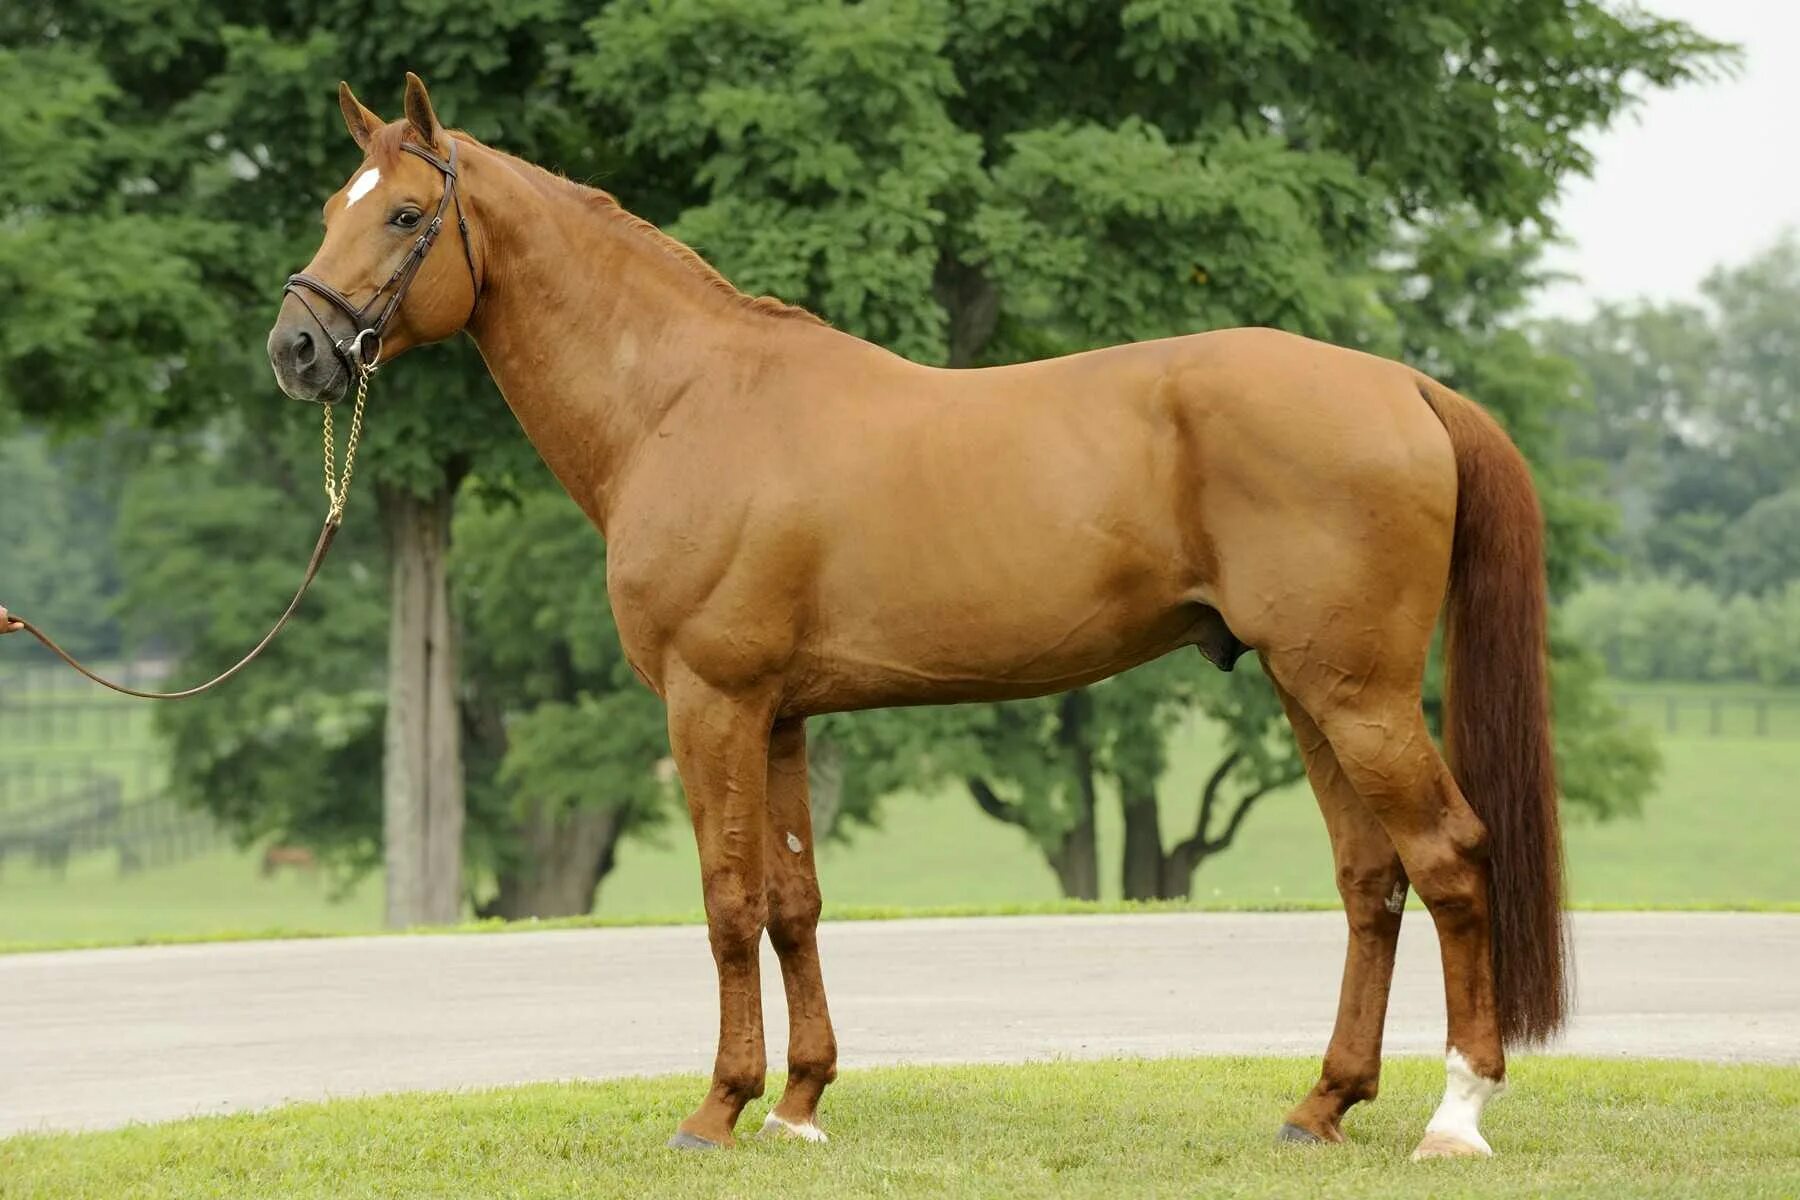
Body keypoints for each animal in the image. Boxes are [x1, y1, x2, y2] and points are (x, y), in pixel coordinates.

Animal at [266, 70, 1562, 1158]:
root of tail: (1404, 386)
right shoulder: (780, 718)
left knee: (1449, 860)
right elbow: (794, 903)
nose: (297, 348)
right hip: (1310, 690)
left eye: (403, 216)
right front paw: (798, 1103)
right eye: (334, 202)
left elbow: (728, 902)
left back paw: (1456, 1116)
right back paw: (1322, 1104)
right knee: (1370, 880)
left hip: (1359, 695)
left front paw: (717, 1110)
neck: (685, 401)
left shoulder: (710, 704)